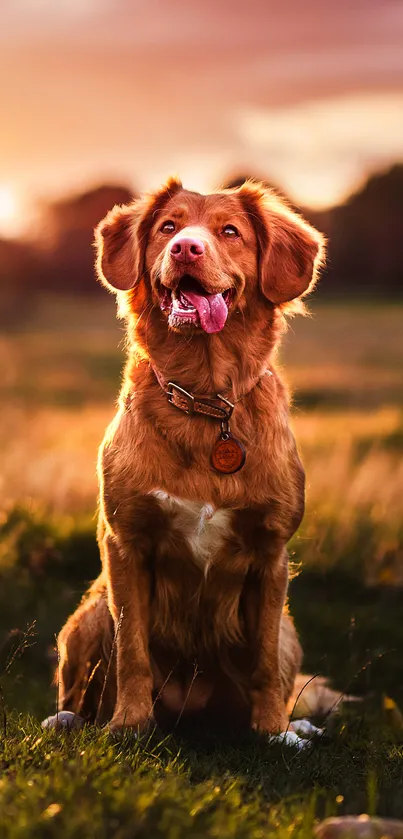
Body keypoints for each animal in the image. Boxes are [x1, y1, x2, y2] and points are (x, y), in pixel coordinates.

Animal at [42, 177, 326, 740]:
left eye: (230, 232)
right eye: (168, 226)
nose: (185, 248)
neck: (204, 399)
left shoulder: (272, 554)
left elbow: (263, 662)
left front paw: (270, 733)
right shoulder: (126, 545)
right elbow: (131, 650)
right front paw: (129, 724)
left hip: (289, 630)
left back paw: (294, 729)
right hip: (87, 615)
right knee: (79, 689)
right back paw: (68, 720)